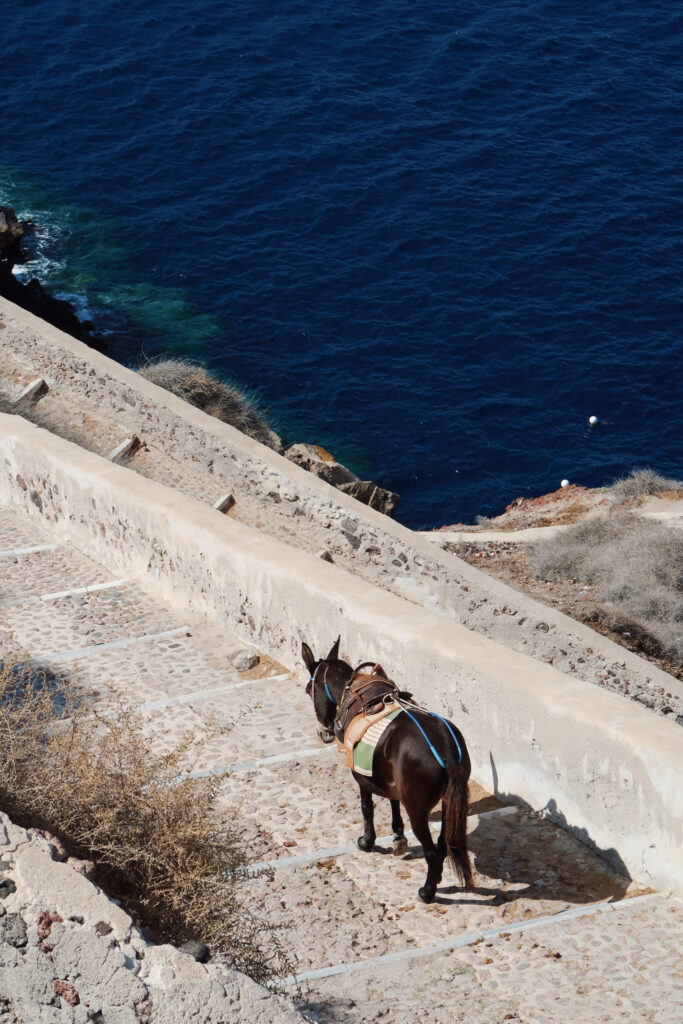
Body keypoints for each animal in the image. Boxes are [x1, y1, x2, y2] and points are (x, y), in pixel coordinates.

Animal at [301, 637, 473, 903]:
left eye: (309, 690)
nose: (324, 733)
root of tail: (446, 749)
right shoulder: (388, 777)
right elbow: (393, 802)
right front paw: (398, 836)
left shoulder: (361, 776)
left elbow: (367, 807)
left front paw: (367, 841)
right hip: (448, 803)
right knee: (443, 844)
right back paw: (435, 878)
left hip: (417, 809)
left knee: (432, 852)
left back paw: (427, 891)